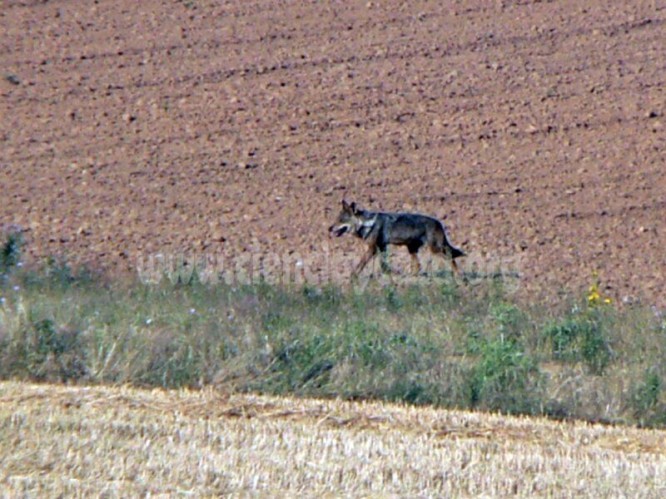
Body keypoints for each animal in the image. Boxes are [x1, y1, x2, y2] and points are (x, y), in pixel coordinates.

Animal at [329, 200, 465, 277]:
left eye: (341, 220)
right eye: (336, 219)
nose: (329, 228)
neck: (368, 223)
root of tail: (439, 223)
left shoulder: (372, 249)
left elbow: (361, 263)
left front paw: (353, 276)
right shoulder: (382, 247)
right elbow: (383, 265)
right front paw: (389, 274)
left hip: (435, 249)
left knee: (451, 258)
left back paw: (459, 276)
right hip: (412, 249)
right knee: (418, 266)